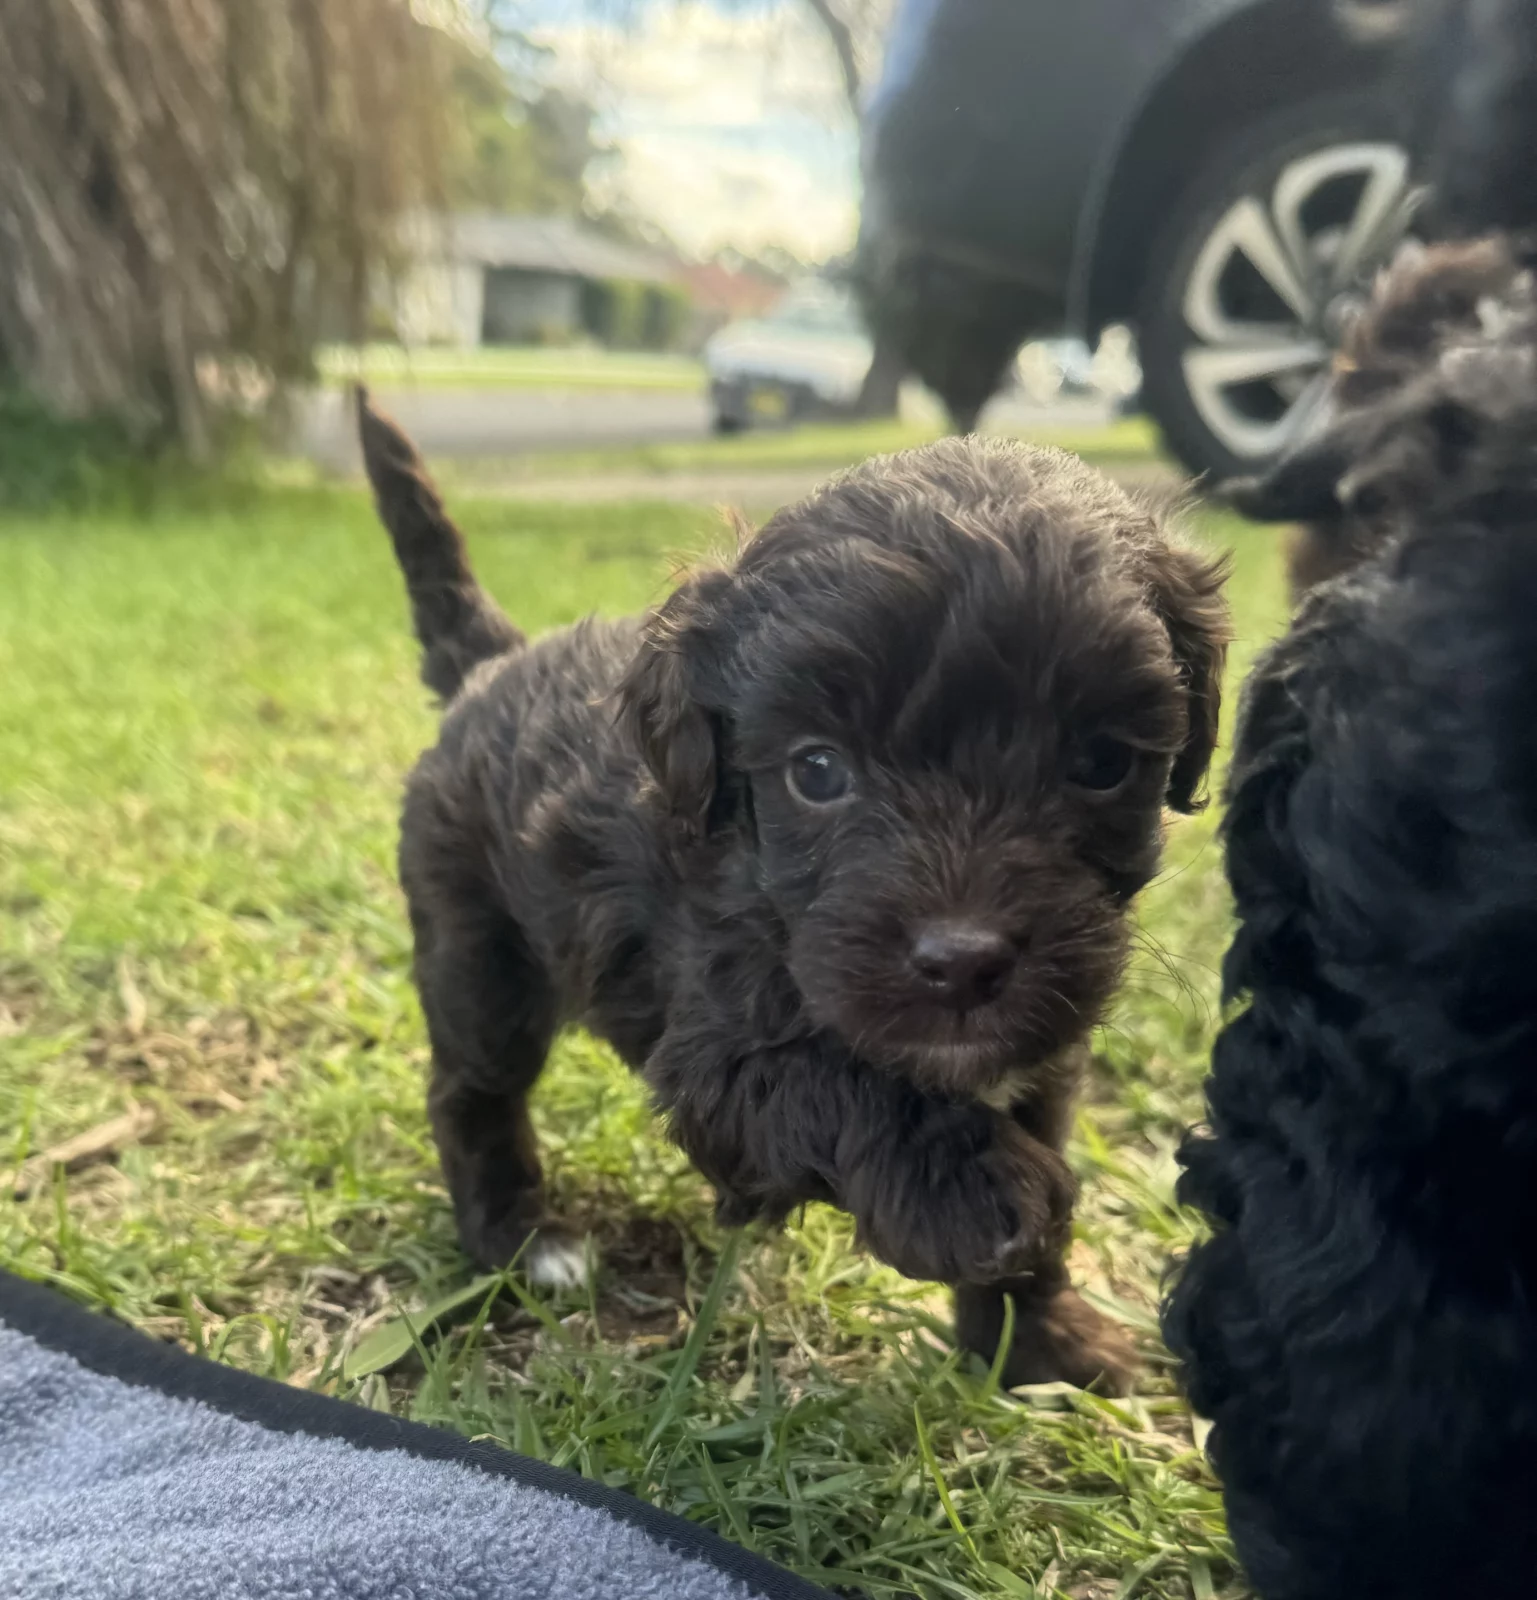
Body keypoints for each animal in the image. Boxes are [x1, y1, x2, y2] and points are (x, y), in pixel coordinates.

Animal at [358, 391, 1229, 1393]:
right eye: (817, 771)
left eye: (1100, 764)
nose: (963, 961)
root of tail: (491, 665)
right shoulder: (711, 1049)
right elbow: (830, 1078)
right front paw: (966, 1193)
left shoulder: (1042, 1060)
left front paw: (1037, 1343)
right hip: (478, 960)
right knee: (470, 1088)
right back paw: (520, 1239)